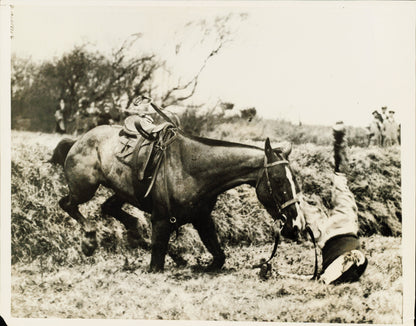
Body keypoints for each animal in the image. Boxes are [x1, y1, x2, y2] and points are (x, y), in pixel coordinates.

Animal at [57, 123, 306, 272]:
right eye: (278, 180)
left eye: (294, 179)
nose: (297, 225)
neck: (193, 168)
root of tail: (78, 140)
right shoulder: (161, 220)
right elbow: (156, 262)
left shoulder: (202, 218)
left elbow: (218, 256)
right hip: (84, 188)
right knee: (67, 204)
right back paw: (89, 240)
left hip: (121, 193)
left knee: (109, 208)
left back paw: (146, 240)